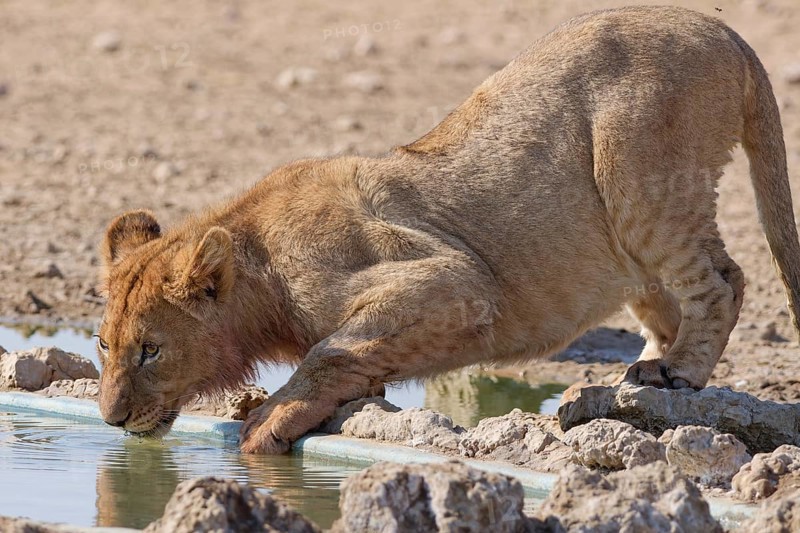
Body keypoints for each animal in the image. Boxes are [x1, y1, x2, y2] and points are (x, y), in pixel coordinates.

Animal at [96, 6, 800, 453]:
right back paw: (641, 370)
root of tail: (722, 28)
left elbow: (331, 350)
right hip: (626, 238)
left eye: (151, 349)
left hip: (640, 179)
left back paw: (677, 374)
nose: (110, 417)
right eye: (104, 345)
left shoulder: (451, 280)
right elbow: (356, 357)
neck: (258, 263)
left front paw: (269, 418)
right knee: (667, 301)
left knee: (724, 279)